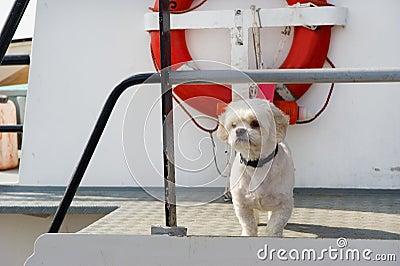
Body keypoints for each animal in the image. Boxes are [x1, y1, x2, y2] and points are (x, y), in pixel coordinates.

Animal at [219, 98, 294, 237]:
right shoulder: (241, 204)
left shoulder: (283, 205)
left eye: (255, 123)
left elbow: (274, 227)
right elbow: (248, 225)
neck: (256, 164)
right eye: (233, 125)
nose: (239, 130)